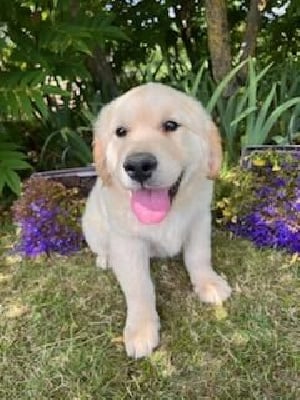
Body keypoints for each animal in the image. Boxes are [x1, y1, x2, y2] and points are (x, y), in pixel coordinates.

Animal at [82, 83, 232, 358]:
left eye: (171, 125)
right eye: (120, 132)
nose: (138, 165)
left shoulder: (199, 220)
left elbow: (199, 256)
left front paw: (209, 283)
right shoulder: (127, 242)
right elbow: (139, 287)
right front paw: (141, 330)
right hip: (91, 223)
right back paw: (105, 259)